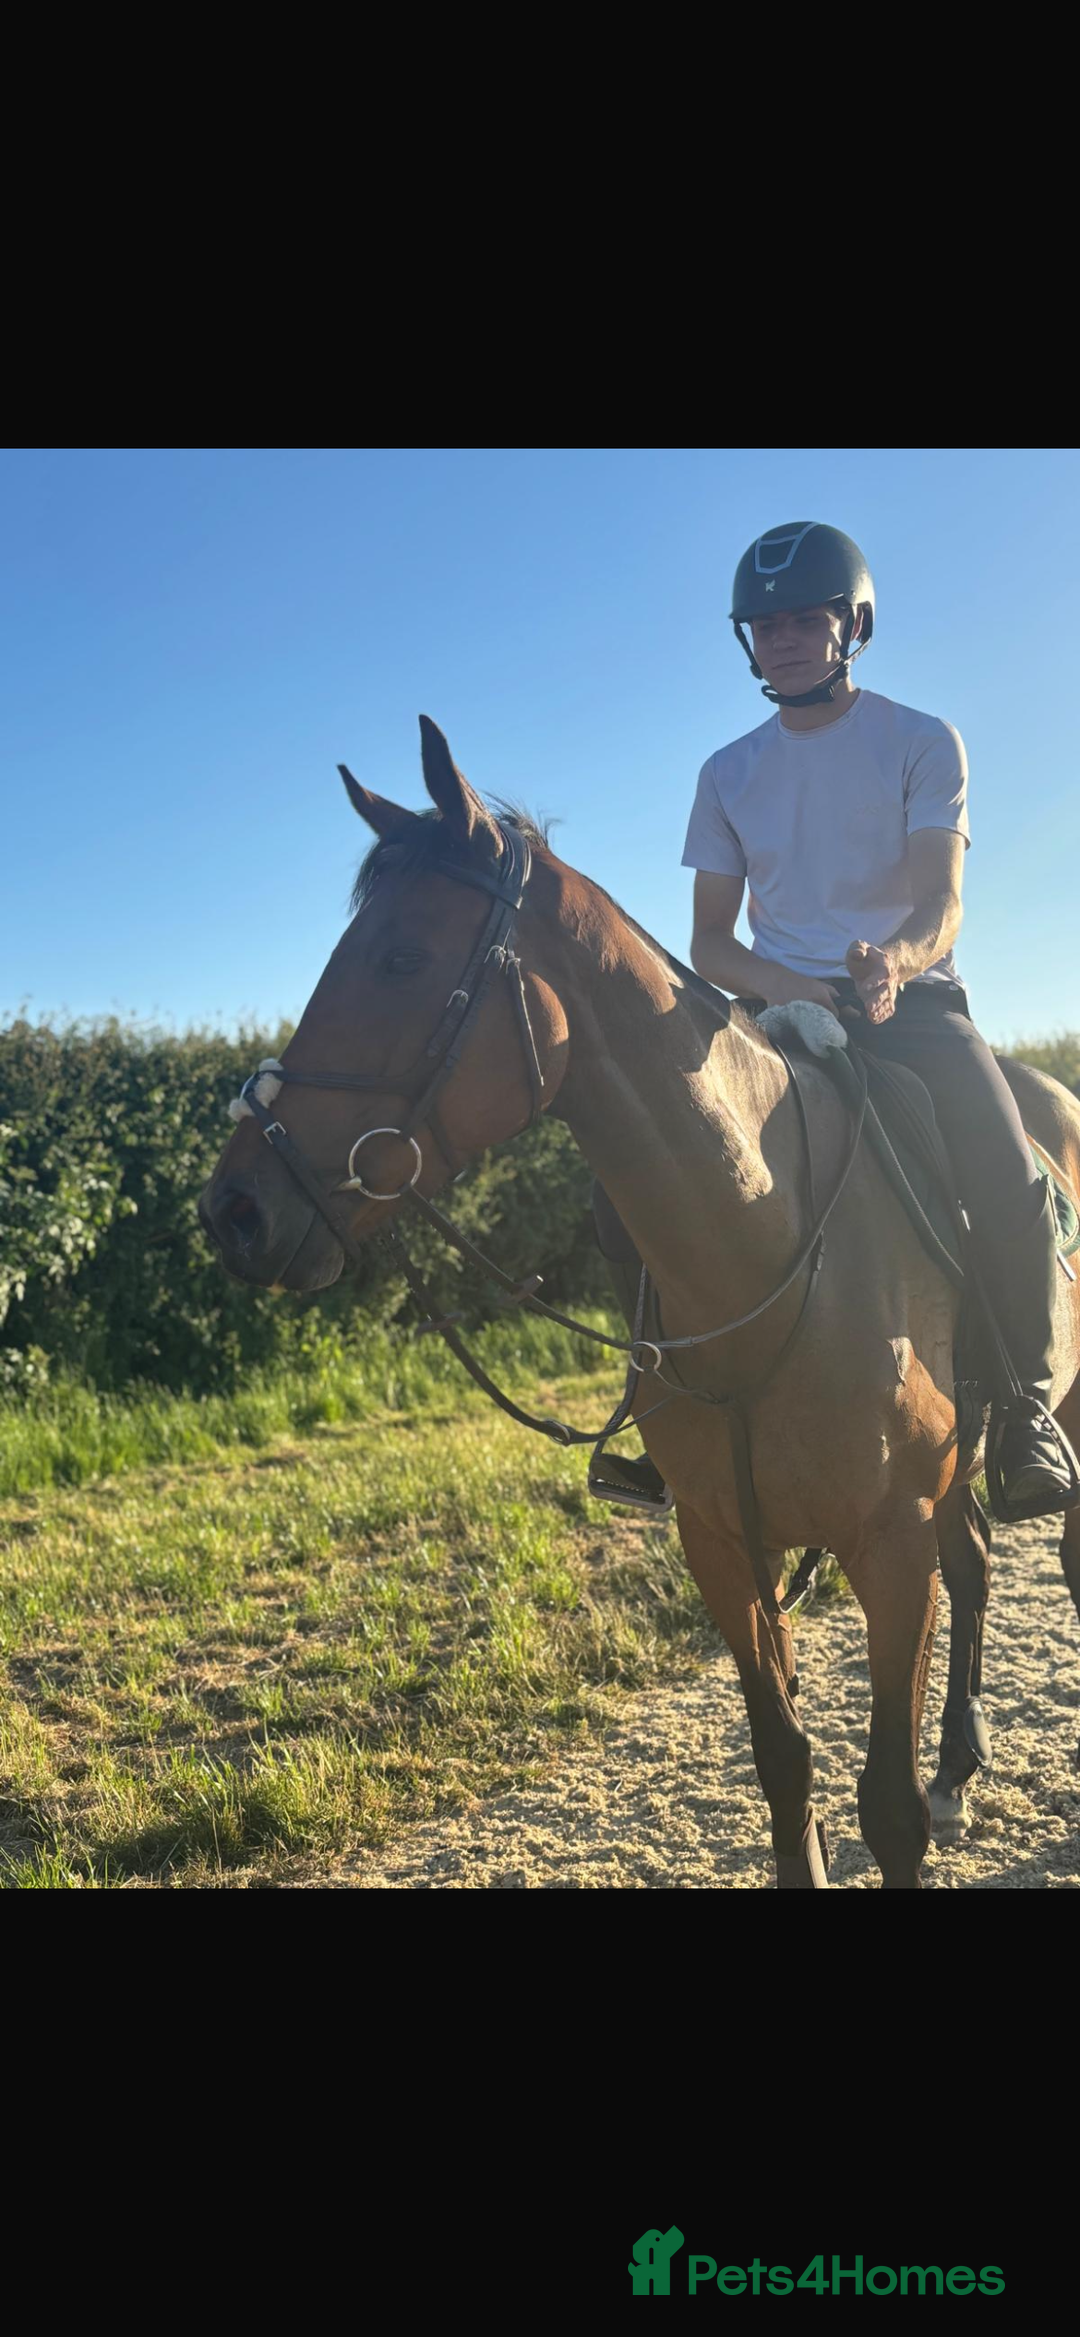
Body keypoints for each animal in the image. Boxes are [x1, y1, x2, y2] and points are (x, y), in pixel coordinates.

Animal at [199, 717, 1080, 1887]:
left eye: (400, 959)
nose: (235, 1208)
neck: (770, 1249)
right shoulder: (721, 1542)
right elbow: (784, 1766)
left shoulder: (888, 1543)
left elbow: (884, 1806)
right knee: (976, 1563)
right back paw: (959, 1770)